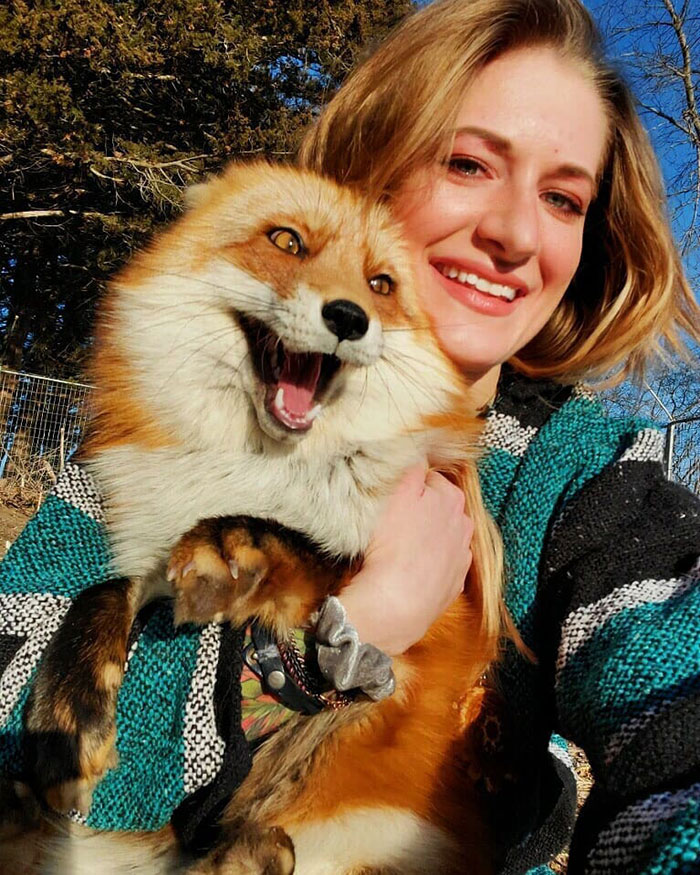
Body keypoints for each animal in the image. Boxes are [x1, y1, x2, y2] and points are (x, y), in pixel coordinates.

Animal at [4, 161, 507, 874]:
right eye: (287, 241)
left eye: (380, 285)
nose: (349, 317)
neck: (261, 472)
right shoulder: (150, 553)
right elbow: (101, 592)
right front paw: (68, 722)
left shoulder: (430, 626)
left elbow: (319, 553)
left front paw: (237, 542)